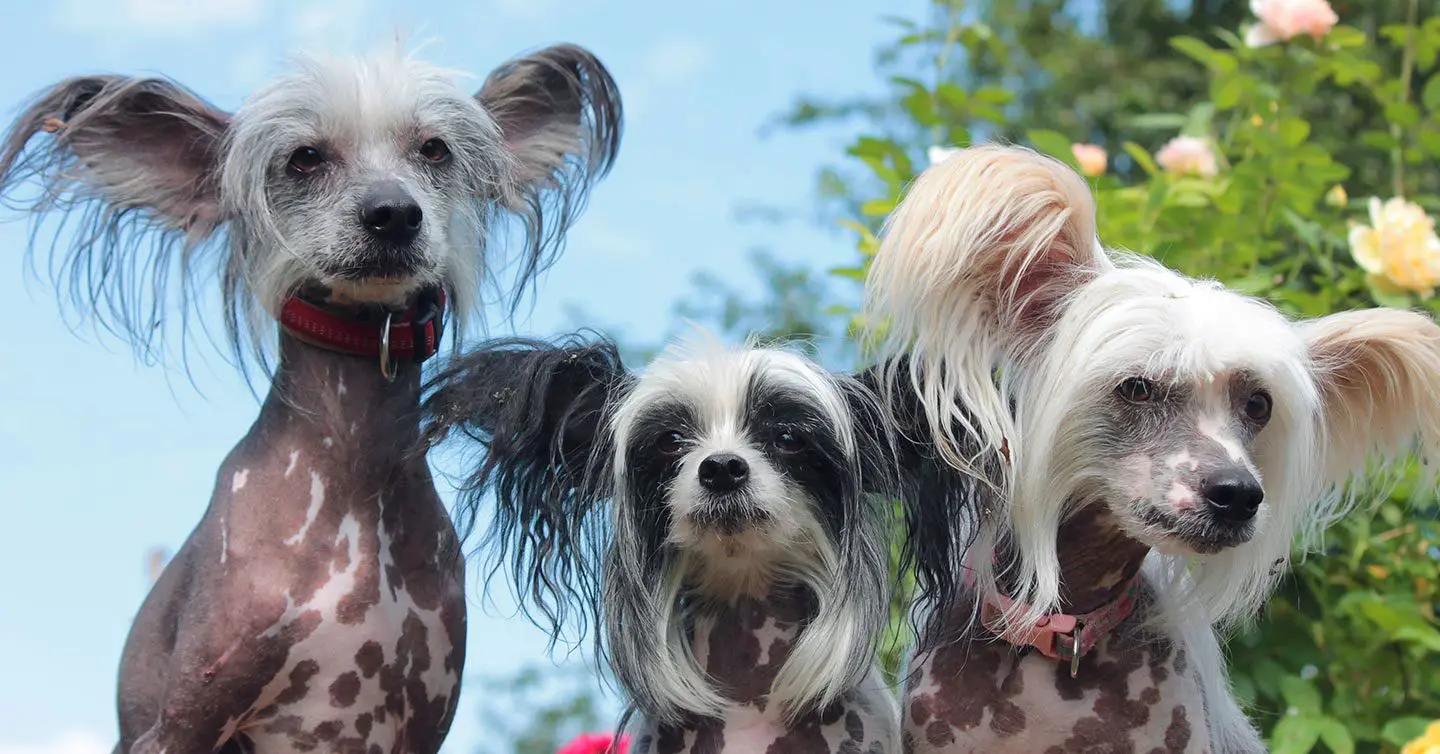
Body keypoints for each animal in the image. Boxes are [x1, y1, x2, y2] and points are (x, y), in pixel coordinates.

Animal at [5, 47, 624, 754]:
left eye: (434, 149)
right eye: (304, 157)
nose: (393, 212)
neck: (355, 477)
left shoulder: (423, 724)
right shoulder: (179, 725)